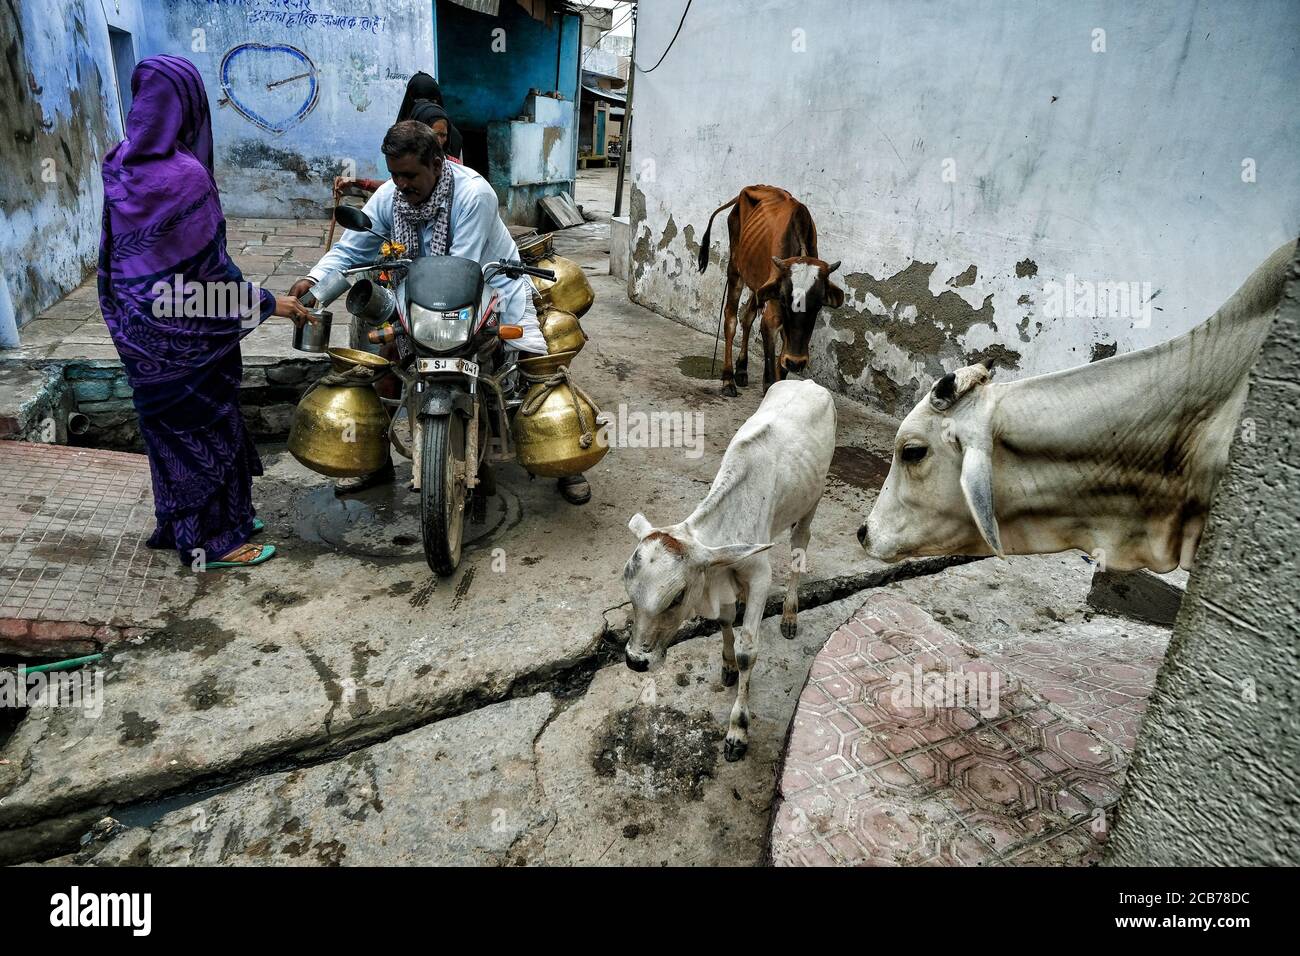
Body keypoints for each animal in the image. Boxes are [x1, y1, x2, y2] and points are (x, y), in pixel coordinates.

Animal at [624, 382, 837, 764]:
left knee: (800, 547)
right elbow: (724, 622)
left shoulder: (760, 576)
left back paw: (790, 614)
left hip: (812, 501)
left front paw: (738, 730)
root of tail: (808, 383)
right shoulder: (718, 574)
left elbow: (747, 650)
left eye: (676, 598)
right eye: (629, 593)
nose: (635, 661)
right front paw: (726, 666)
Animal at [702, 184, 842, 395]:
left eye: (818, 305)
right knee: (731, 320)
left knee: (747, 316)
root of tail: (743, 193)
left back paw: (741, 370)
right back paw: (728, 379)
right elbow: (770, 374)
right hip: (735, 269)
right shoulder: (773, 314)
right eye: (784, 300)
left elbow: (781, 364)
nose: (797, 362)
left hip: (758, 284)